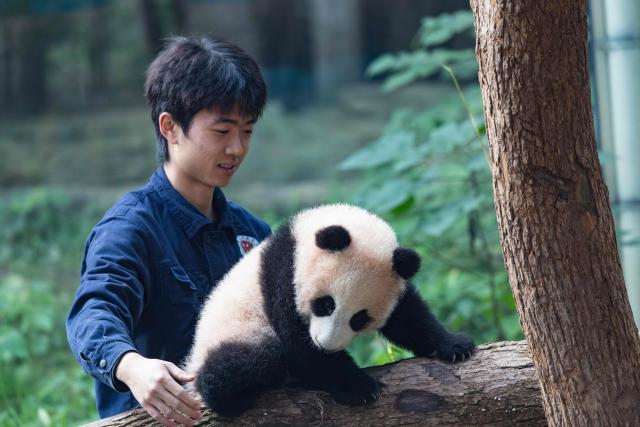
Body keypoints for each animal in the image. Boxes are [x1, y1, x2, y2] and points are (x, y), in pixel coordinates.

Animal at [184, 204, 475, 416]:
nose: (326, 344)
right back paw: (232, 398)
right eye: (326, 304)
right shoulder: (283, 277)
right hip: (236, 332)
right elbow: (299, 346)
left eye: (359, 318)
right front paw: (360, 387)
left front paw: (455, 345)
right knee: (243, 361)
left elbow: (407, 317)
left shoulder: (395, 282)